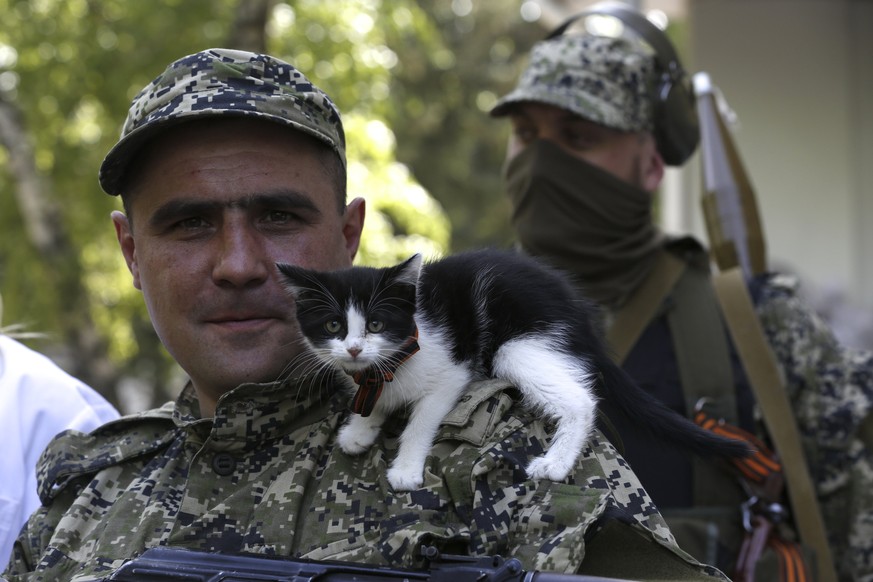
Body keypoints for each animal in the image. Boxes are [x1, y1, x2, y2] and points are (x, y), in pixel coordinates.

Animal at [276, 250, 744, 492]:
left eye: (375, 324)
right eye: (333, 327)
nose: (354, 348)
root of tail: (576, 309)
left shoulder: (450, 370)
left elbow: (422, 419)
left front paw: (407, 469)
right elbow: (372, 400)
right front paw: (360, 428)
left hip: (516, 344)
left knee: (581, 399)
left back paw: (555, 464)